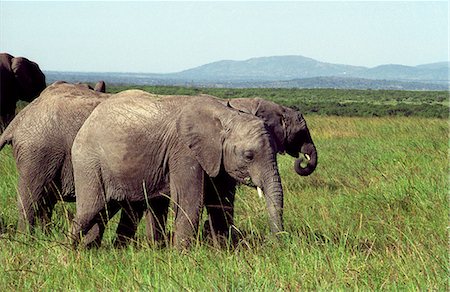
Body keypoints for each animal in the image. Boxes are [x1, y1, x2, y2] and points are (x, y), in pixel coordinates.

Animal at [71, 91, 284, 249]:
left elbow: (220, 203)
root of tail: (87, 121)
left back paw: (91, 251)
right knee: (92, 209)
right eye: (249, 156)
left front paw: (223, 253)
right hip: (89, 163)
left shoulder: (217, 158)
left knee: (105, 210)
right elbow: (189, 203)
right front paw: (184, 258)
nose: (276, 243)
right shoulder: (184, 151)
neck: (227, 114)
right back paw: (71, 253)